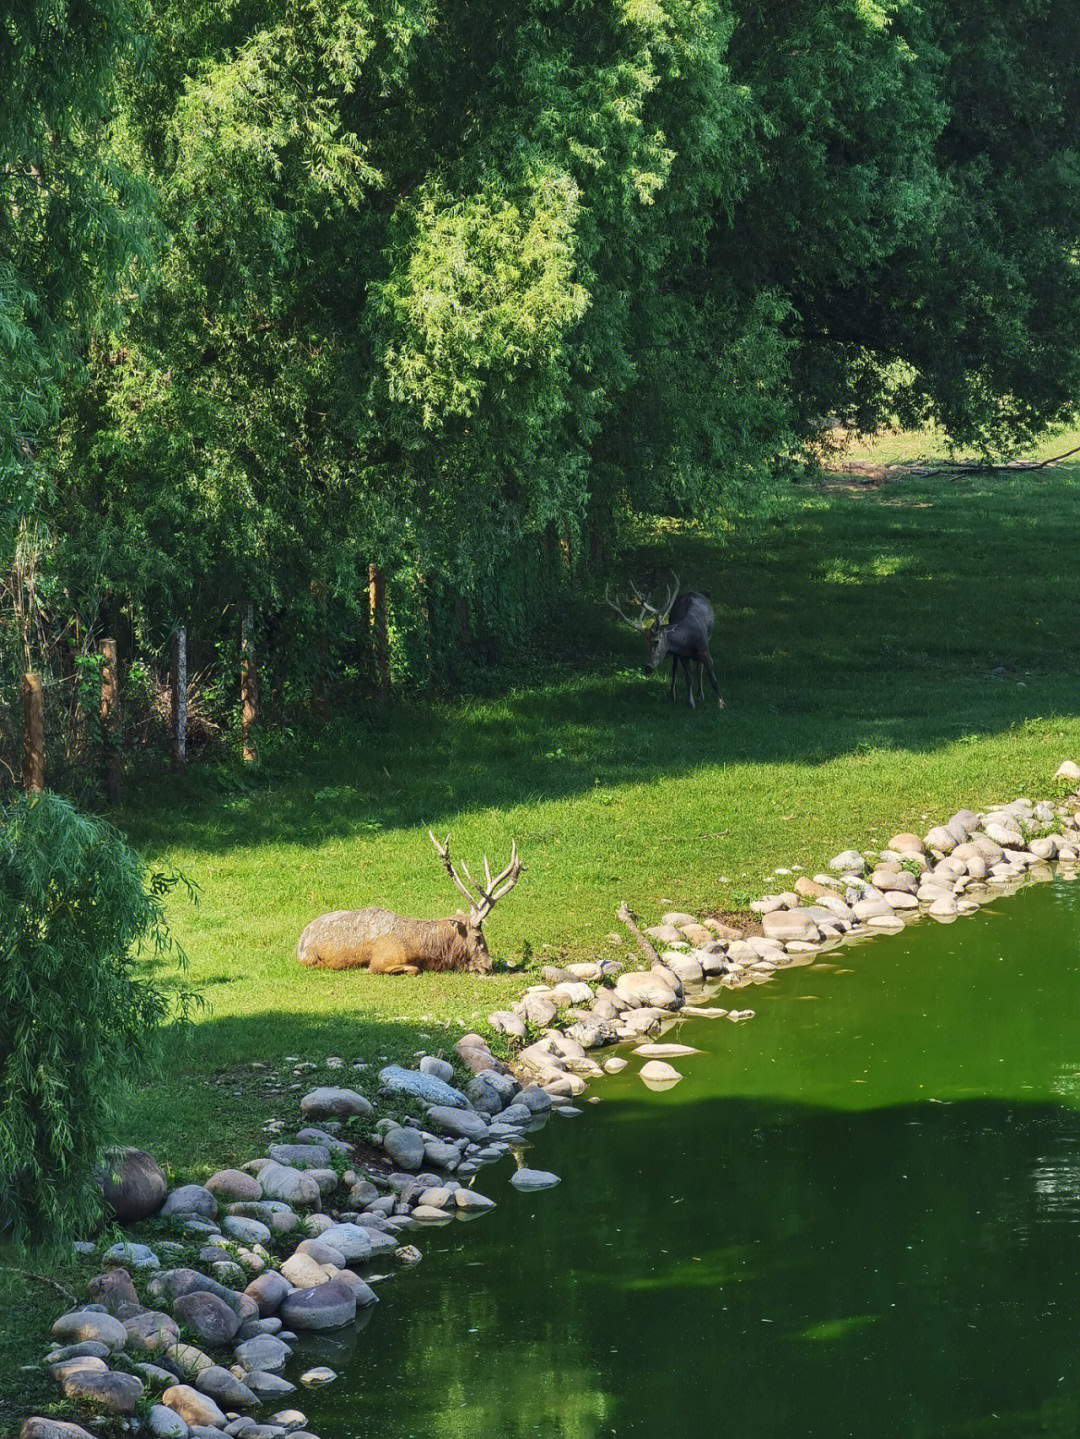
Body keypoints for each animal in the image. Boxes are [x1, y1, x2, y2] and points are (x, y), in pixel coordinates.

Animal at [296, 834, 523, 978]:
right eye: (478, 937)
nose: (488, 965)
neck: (419, 950)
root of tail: (300, 939)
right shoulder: (381, 961)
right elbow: (414, 970)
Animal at [609, 572, 727, 707]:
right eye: (645, 644)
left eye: (657, 641)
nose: (648, 667)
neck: (688, 638)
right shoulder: (683, 655)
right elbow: (688, 678)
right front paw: (690, 703)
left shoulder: (705, 650)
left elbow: (713, 679)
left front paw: (721, 703)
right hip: (677, 655)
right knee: (675, 669)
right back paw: (672, 696)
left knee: (699, 667)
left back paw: (701, 695)